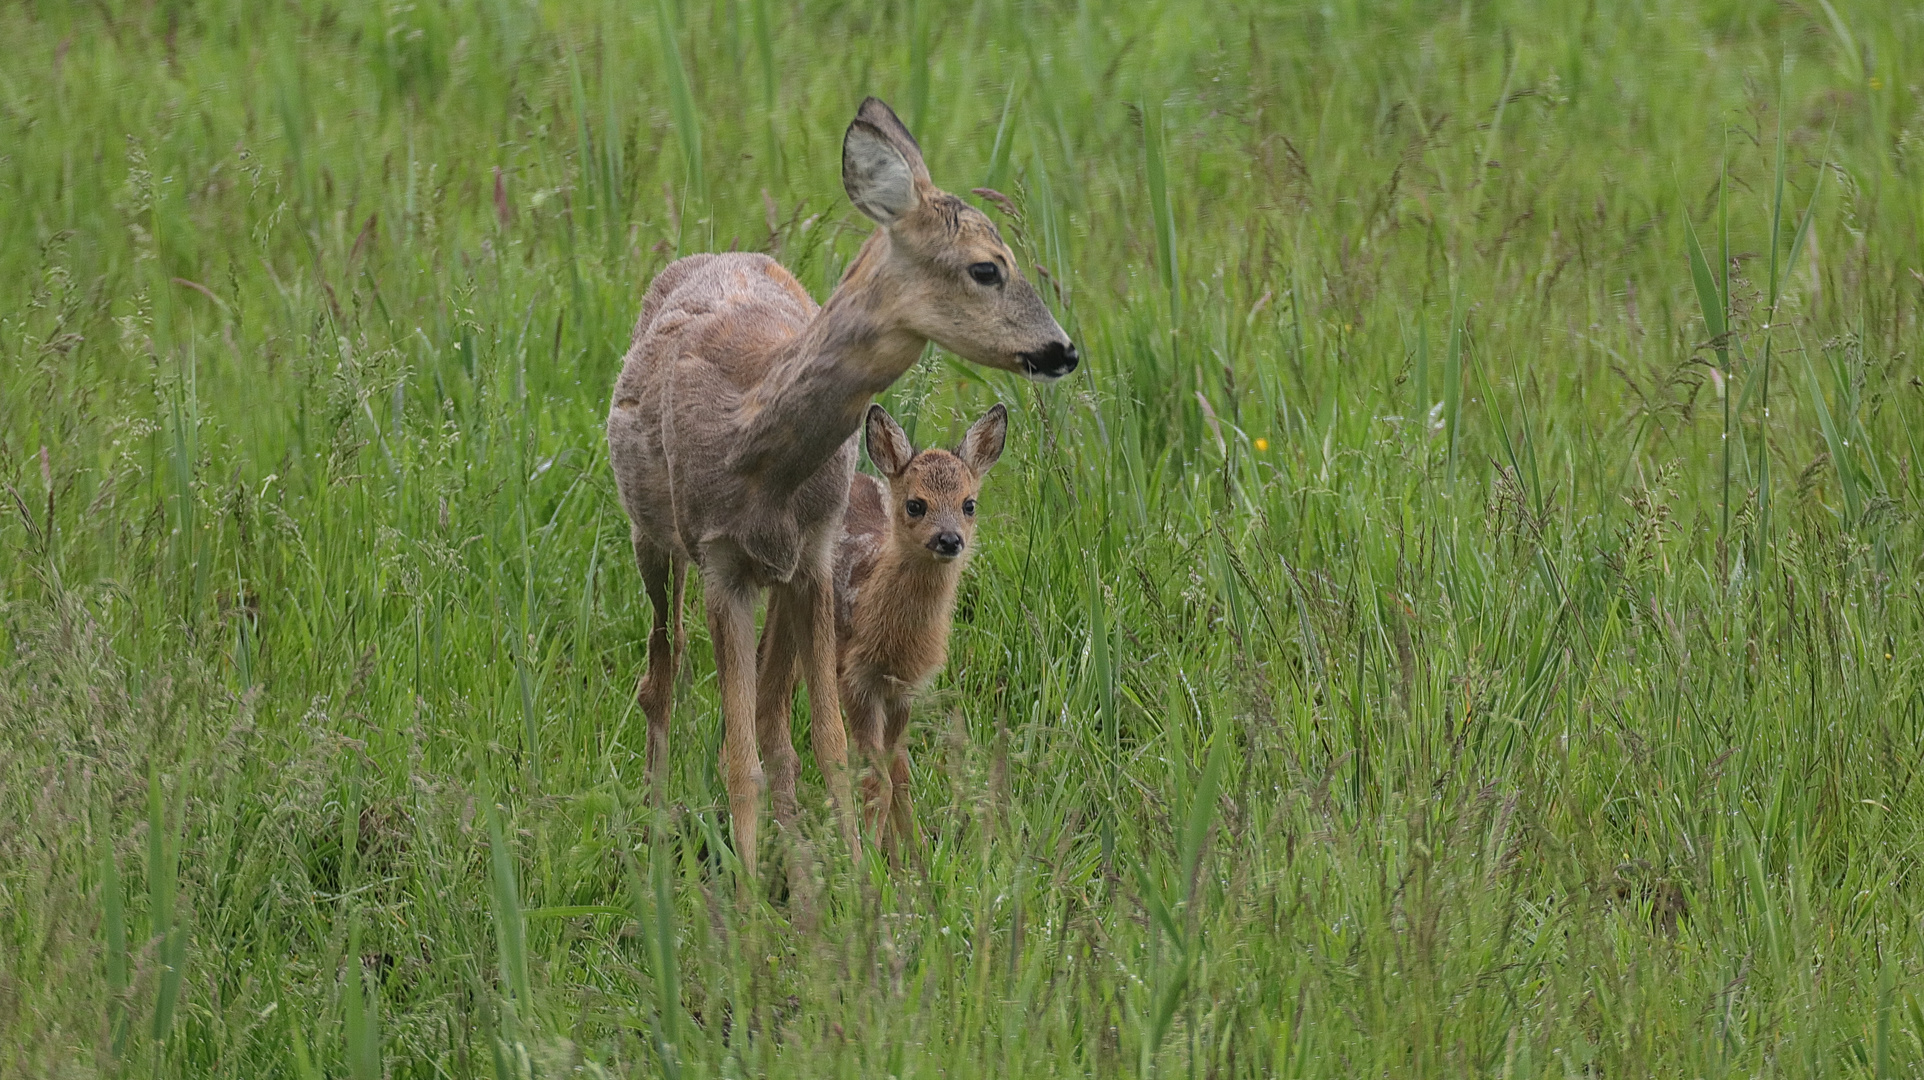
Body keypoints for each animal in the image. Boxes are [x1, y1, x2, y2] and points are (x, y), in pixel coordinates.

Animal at [607, 96, 1077, 881]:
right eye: (987, 268)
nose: (1063, 350)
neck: (755, 453)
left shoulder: (817, 554)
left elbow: (825, 743)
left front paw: (857, 885)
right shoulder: (720, 563)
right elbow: (738, 757)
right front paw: (749, 903)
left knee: (771, 715)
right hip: (654, 539)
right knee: (660, 676)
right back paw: (656, 825)